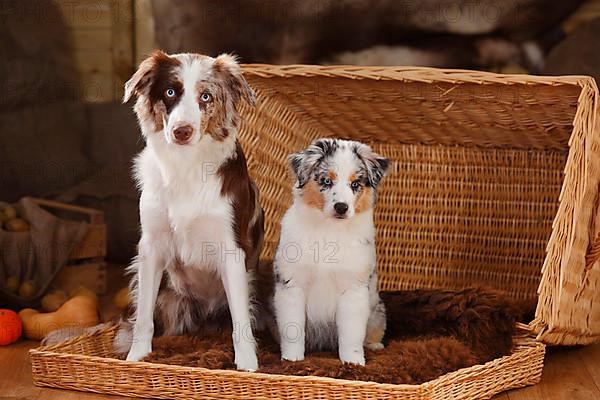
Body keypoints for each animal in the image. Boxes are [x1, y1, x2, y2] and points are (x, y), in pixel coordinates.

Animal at [121, 50, 262, 372]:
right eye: (170, 92)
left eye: (206, 96)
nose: (181, 131)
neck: (185, 164)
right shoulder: (151, 246)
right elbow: (143, 315)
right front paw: (137, 358)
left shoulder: (231, 248)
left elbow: (241, 318)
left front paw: (248, 366)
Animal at [274, 138, 390, 366]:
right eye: (326, 181)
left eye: (355, 184)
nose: (341, 207)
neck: (329, 230)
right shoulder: (292, 284)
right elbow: (292, 328)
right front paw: (292, 359)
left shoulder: (353, 288)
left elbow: (351, 333)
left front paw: (353, 362)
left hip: (377, 310)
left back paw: (375, 345)